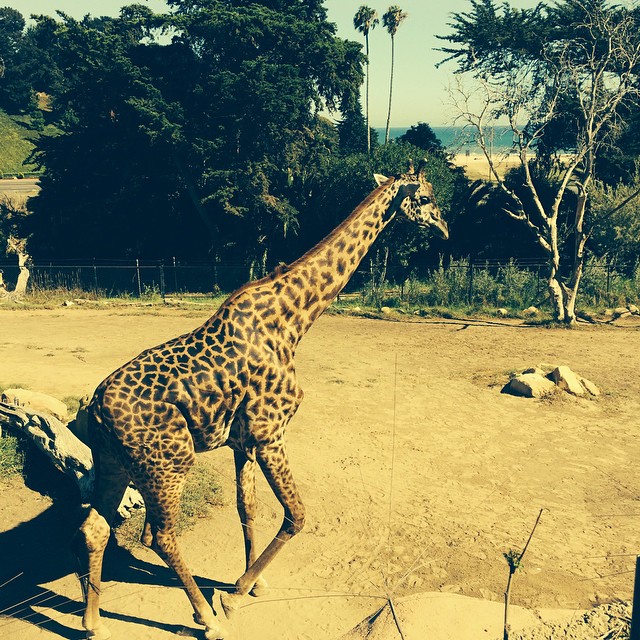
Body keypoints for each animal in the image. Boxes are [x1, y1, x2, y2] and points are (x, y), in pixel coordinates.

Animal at [73, 160, 448, 640]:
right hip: (168, 464)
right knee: (157, 535)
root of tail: (96, 409)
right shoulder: (271, 432)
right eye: (426, 196)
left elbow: (246, 507)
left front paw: (253, 582)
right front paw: (234, 595)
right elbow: (297, 514)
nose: (445, 229)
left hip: (115, 461)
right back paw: (207, 618)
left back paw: (92, 621)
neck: (294, 319)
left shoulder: (243, 440)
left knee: (95, 526)